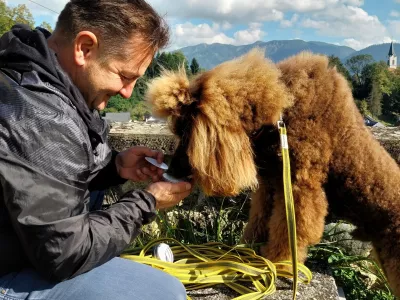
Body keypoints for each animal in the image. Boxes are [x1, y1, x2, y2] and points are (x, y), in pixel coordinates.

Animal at [146, 48, 400, 296]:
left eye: (186, 136)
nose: (170, 170)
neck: (280, 115)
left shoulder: (298, 187)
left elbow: (290, 230)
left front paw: (279, 263)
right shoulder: (272, 183)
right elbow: (260, 219)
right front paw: (248, 253)